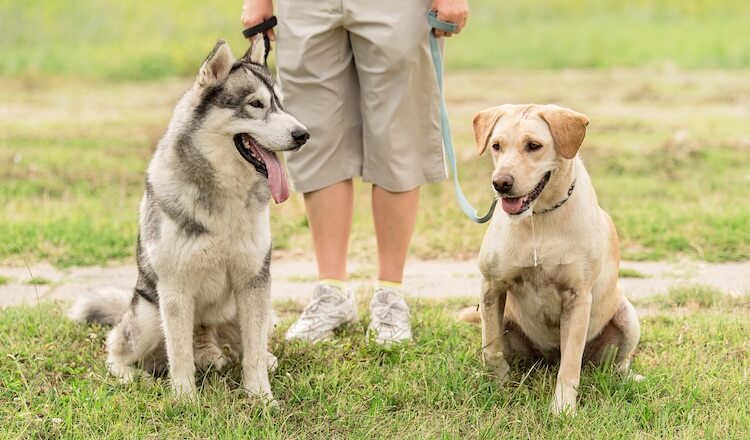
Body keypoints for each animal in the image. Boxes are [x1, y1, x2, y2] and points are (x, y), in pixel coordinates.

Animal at [68, 37, 308, 402]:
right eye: (256, 104)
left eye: (281, 103)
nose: (303, 134)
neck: (224, 196)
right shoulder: (175, 288)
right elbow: (179, 354)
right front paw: (185, 400)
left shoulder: (254, 280)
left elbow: (251, 353)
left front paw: (261, 397)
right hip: (148, 317)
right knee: (116, 348)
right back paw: (133, 376)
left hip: (259, 311)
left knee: (243, 344)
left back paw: (242, 357)